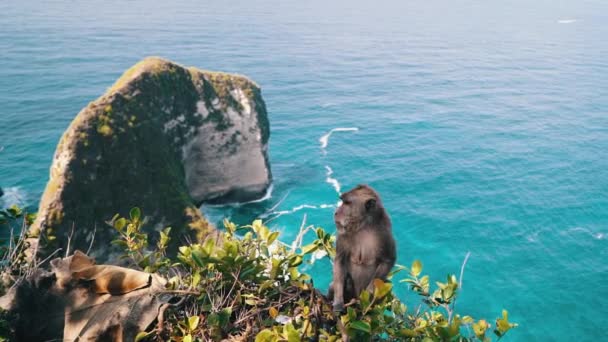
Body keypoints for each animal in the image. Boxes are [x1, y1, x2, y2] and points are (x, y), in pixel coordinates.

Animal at [330, 184, 396, 312]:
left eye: (347, 203)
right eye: (343, 201)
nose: (336, 212)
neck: (364, 226)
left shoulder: (384, 233)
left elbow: (388, 261)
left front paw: (369, 292)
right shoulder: (343, 234)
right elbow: (340, 260)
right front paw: (338, 302)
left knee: (386, 283)